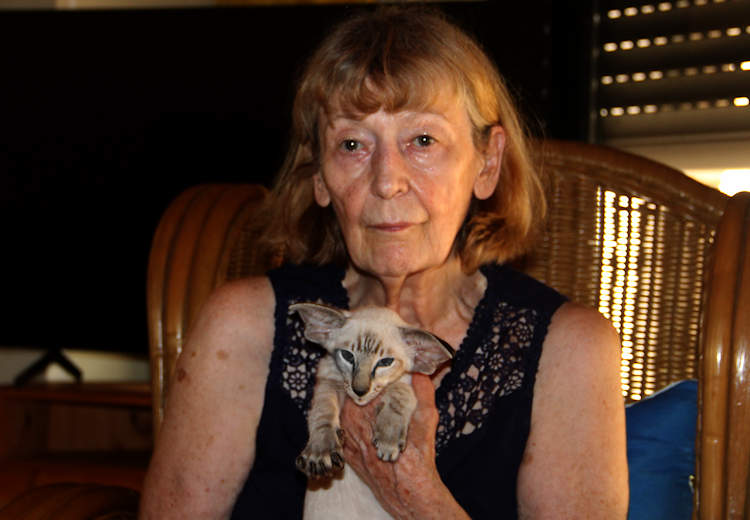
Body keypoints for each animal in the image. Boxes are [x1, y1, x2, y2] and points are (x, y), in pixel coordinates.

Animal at [289, 302, 455, 519]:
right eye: (347, 356)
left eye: (385, 362)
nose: (360, 391)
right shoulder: (329, 381)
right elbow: (323, 411)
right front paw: (321, 451)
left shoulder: (407, 382)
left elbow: (399, 392)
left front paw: (388, 440)